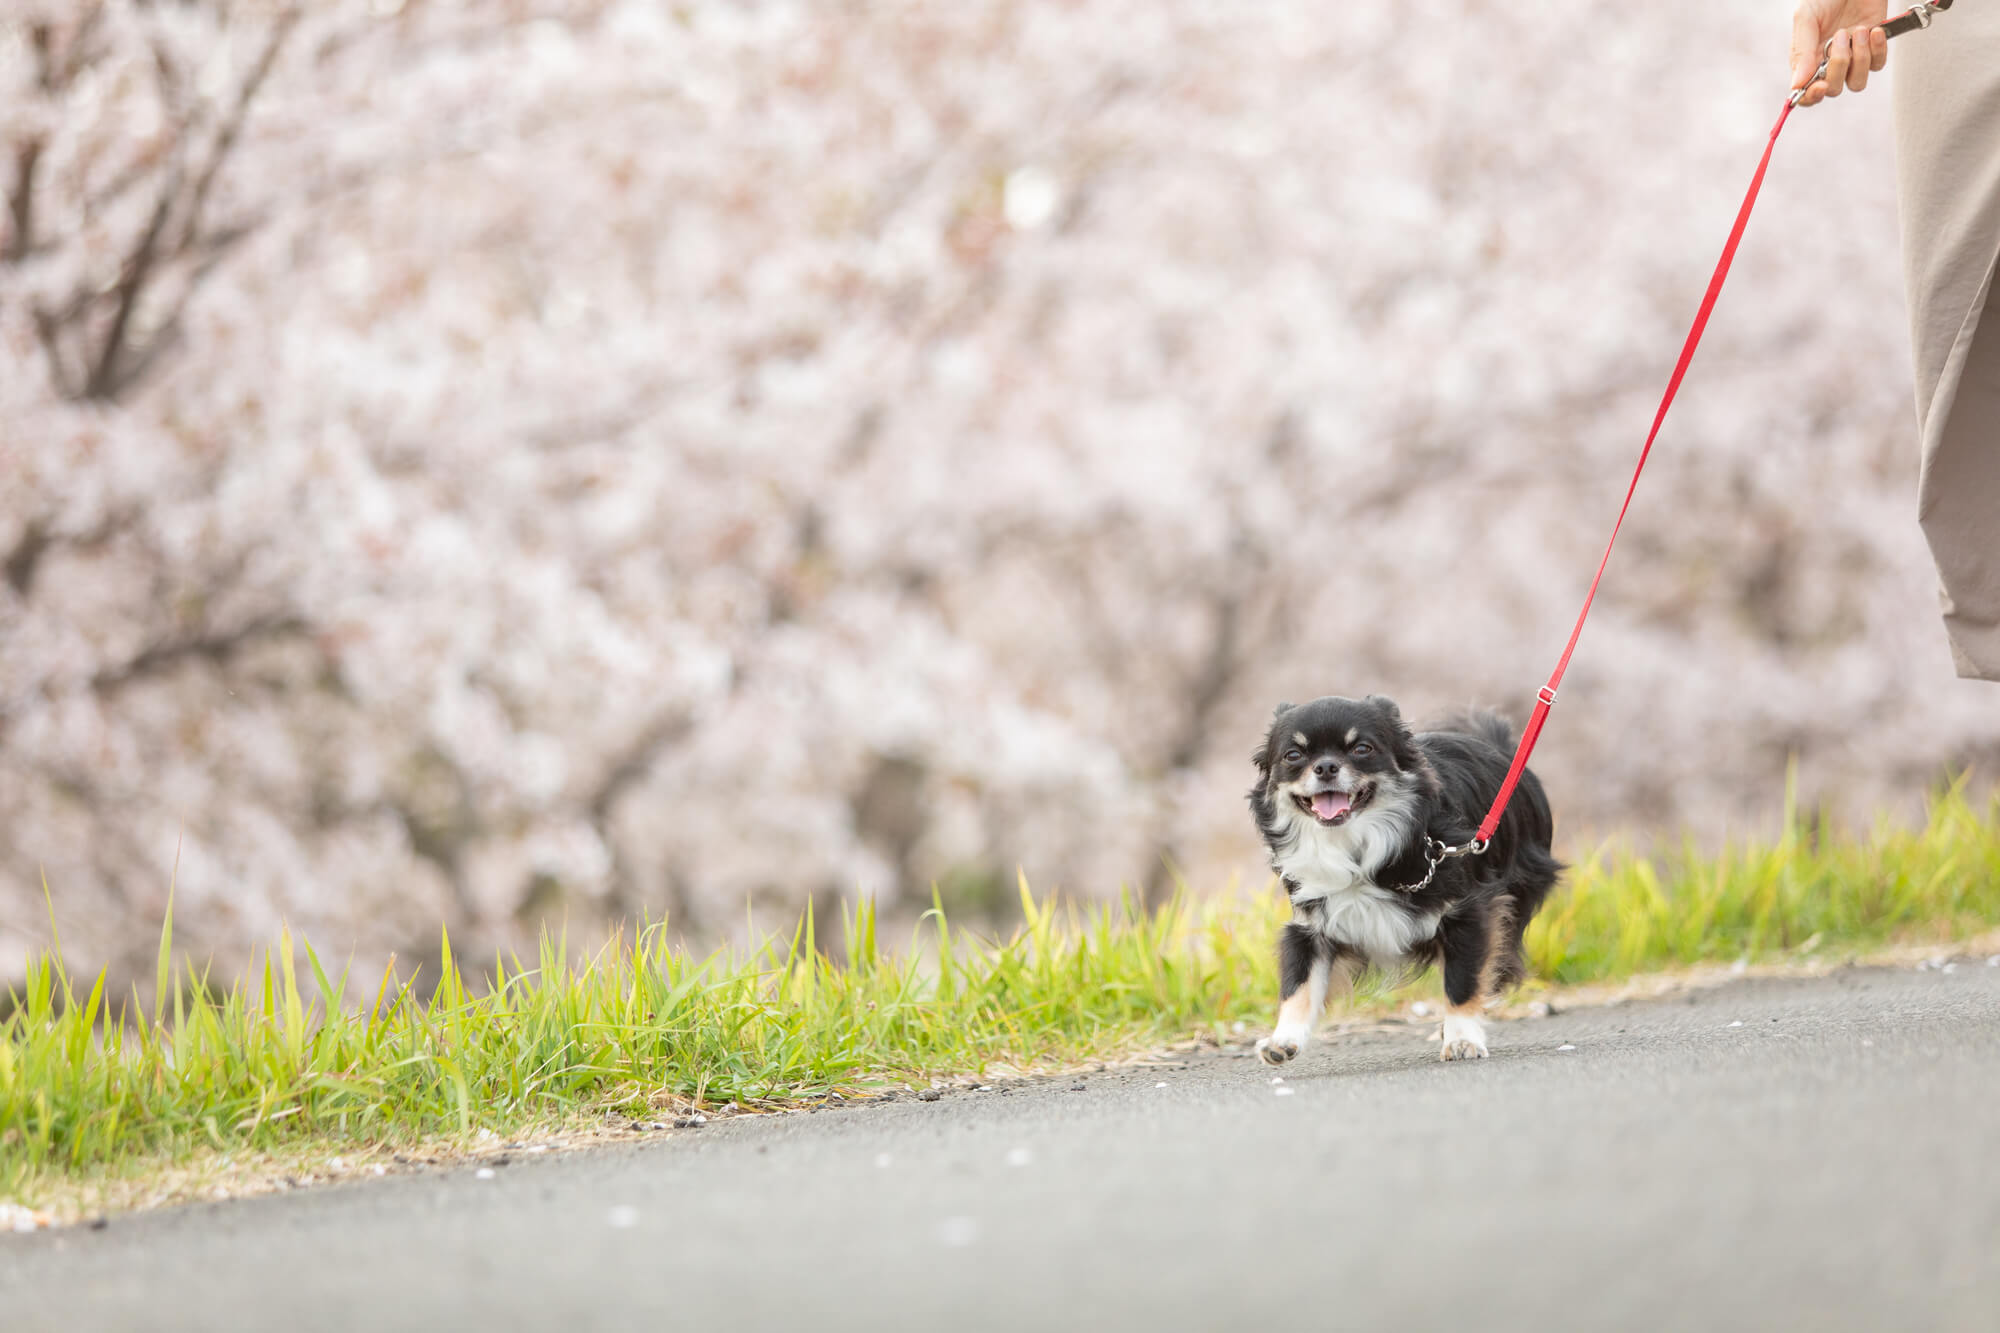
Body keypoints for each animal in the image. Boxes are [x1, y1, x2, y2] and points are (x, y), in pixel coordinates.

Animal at [1248, 696, 1560, 1056]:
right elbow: (1298, 984)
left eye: (1362, 749)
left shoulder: (1470, 913)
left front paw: (1462, 1037)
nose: (1325, 767)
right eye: (1293, 755)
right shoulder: (1312, 927)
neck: (1355, 848)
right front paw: (1283, 1039)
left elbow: (1462, 981)